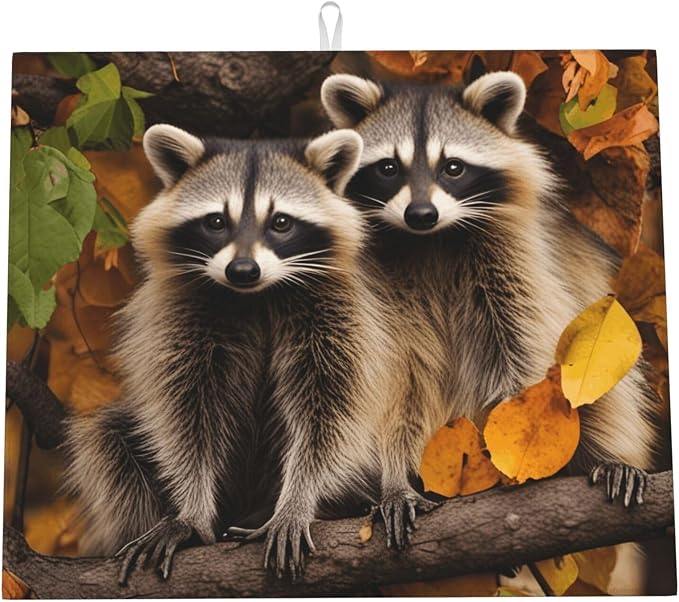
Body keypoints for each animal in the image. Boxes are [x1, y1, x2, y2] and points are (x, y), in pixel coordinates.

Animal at [63, 124, 395, 581]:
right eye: (216, 222)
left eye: (281, 222)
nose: (242, 270)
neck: (254, 295)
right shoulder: (183, 315)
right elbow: (187, 417)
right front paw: (190, 512)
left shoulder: (335, 310)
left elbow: (328, 412)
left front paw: (298, 500)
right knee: (108, 442)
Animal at [321, 71, 659, 545]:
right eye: (388, 168)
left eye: (453, 167)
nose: (420, 213)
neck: (430, 240)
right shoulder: (382, 295)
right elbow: (396, 384)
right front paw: (394, 480)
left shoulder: (512, 263)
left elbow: (523, 357)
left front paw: (518, 452)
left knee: (609, 398)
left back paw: (608, 458)